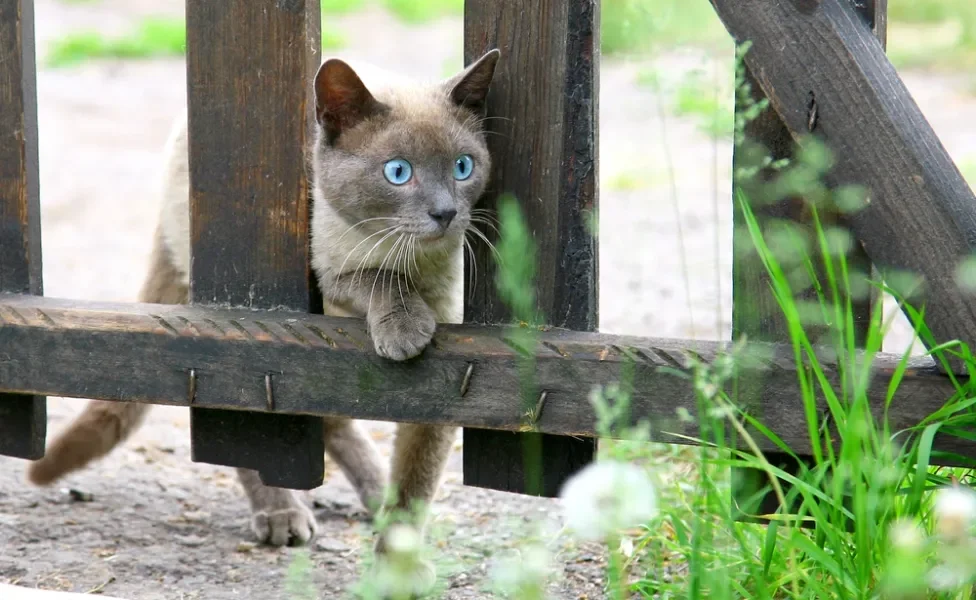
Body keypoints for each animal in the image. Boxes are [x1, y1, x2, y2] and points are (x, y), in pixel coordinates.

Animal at [25, 47, 504, 556]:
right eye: (398, 172)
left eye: (463, 167)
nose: (445, 213)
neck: (415, 265)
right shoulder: (326, 271)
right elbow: (373, 277)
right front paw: (404, 327)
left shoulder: (445, 376)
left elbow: (415, 487)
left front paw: (402, 558)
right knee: (243, 418)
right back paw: (282, 516)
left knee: (330, 424)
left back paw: (376, 493)